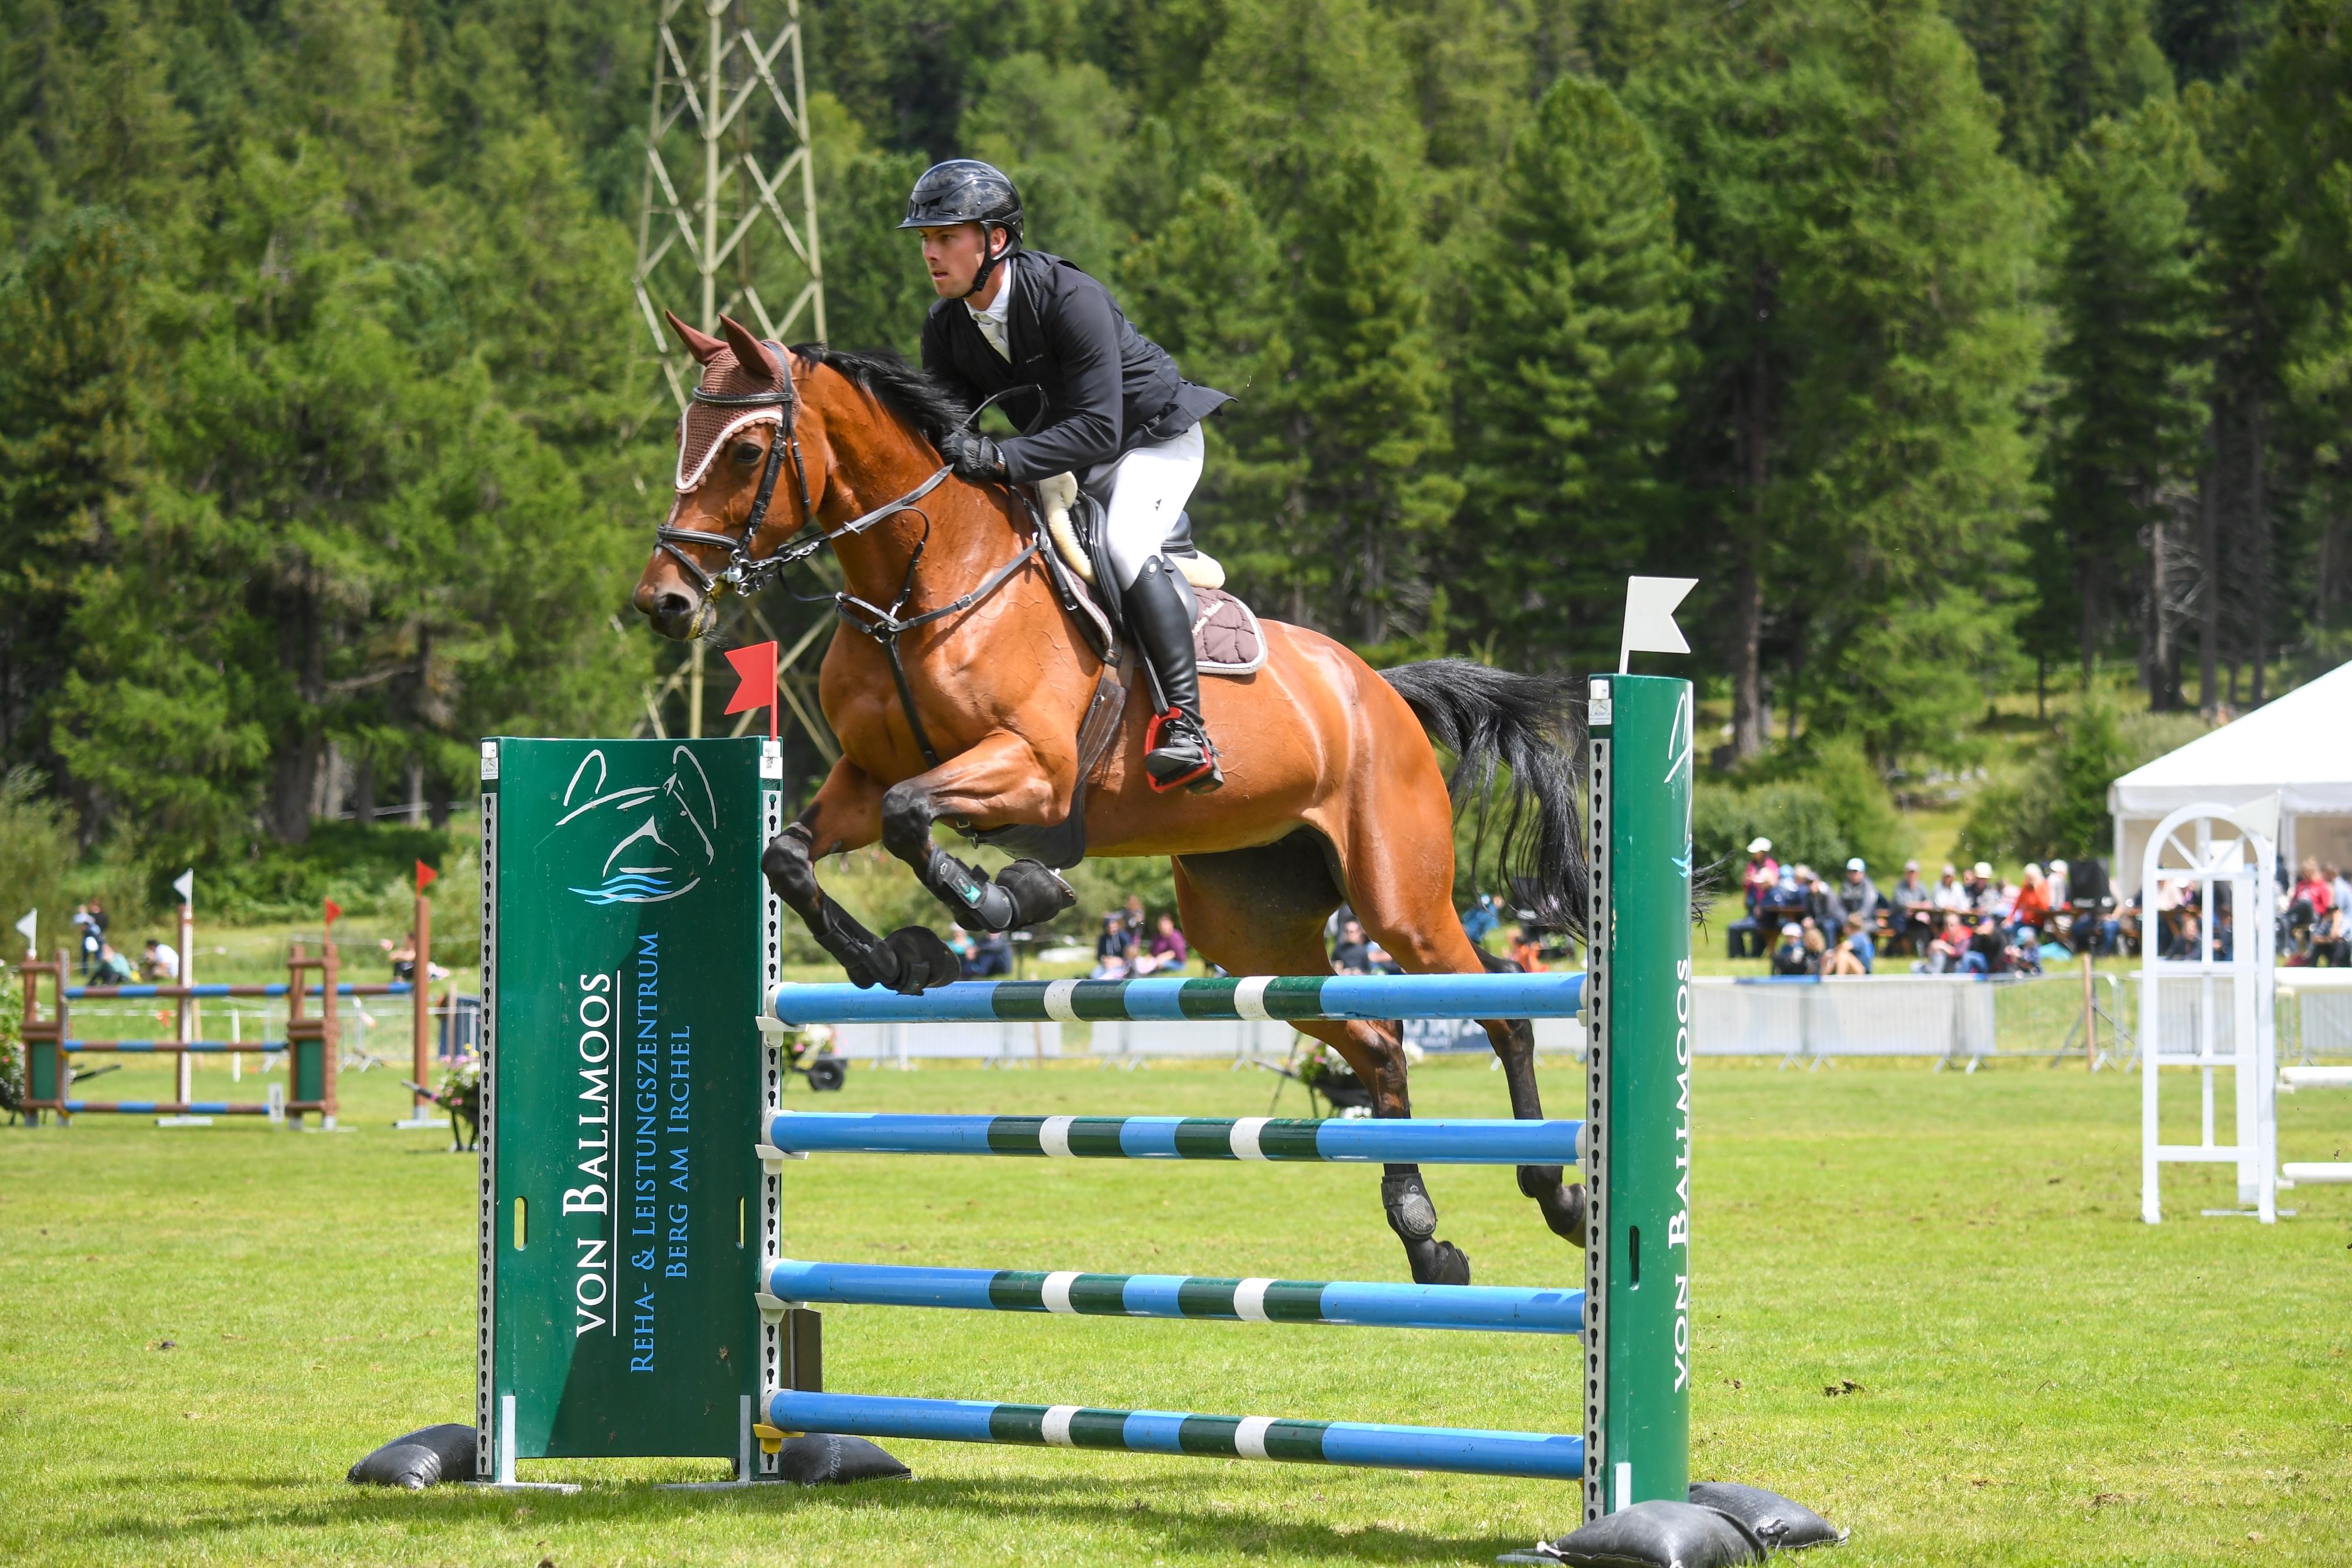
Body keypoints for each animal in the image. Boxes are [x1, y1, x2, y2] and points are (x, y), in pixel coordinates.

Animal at [632, 312, 1591, 1285]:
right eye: (681, 434)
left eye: (747, 449)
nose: (663, 601)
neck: (923, 580)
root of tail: (1381, 688)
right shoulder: (860, 778)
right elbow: (791, 855)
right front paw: (899, 958)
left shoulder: (1034, 768)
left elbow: (914, 819)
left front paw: (1009, 898)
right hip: (1251, 931)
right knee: (1381, 1041)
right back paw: (1424, 1234)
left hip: (1400, 897)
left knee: (1504, 1009)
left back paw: (1559, 1195)